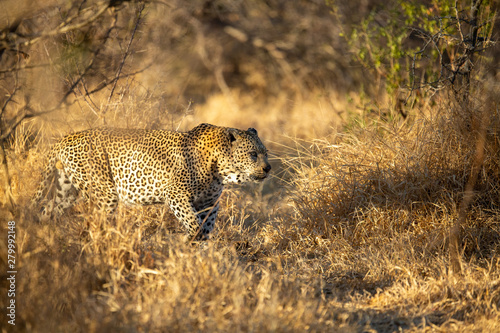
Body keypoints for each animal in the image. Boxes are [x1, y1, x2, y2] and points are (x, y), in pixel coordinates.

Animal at [33, 123, 272, 240]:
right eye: (253, 155)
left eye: (265, 153)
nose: (268, 168)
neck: (221, 169)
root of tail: (65, 138)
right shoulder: (176, 194)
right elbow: (193, 222)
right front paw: (192, 240)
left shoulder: (209, 203)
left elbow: (206, 226)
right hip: (105, 193)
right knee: (97, 222)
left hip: (67, 191)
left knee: (48, 210)